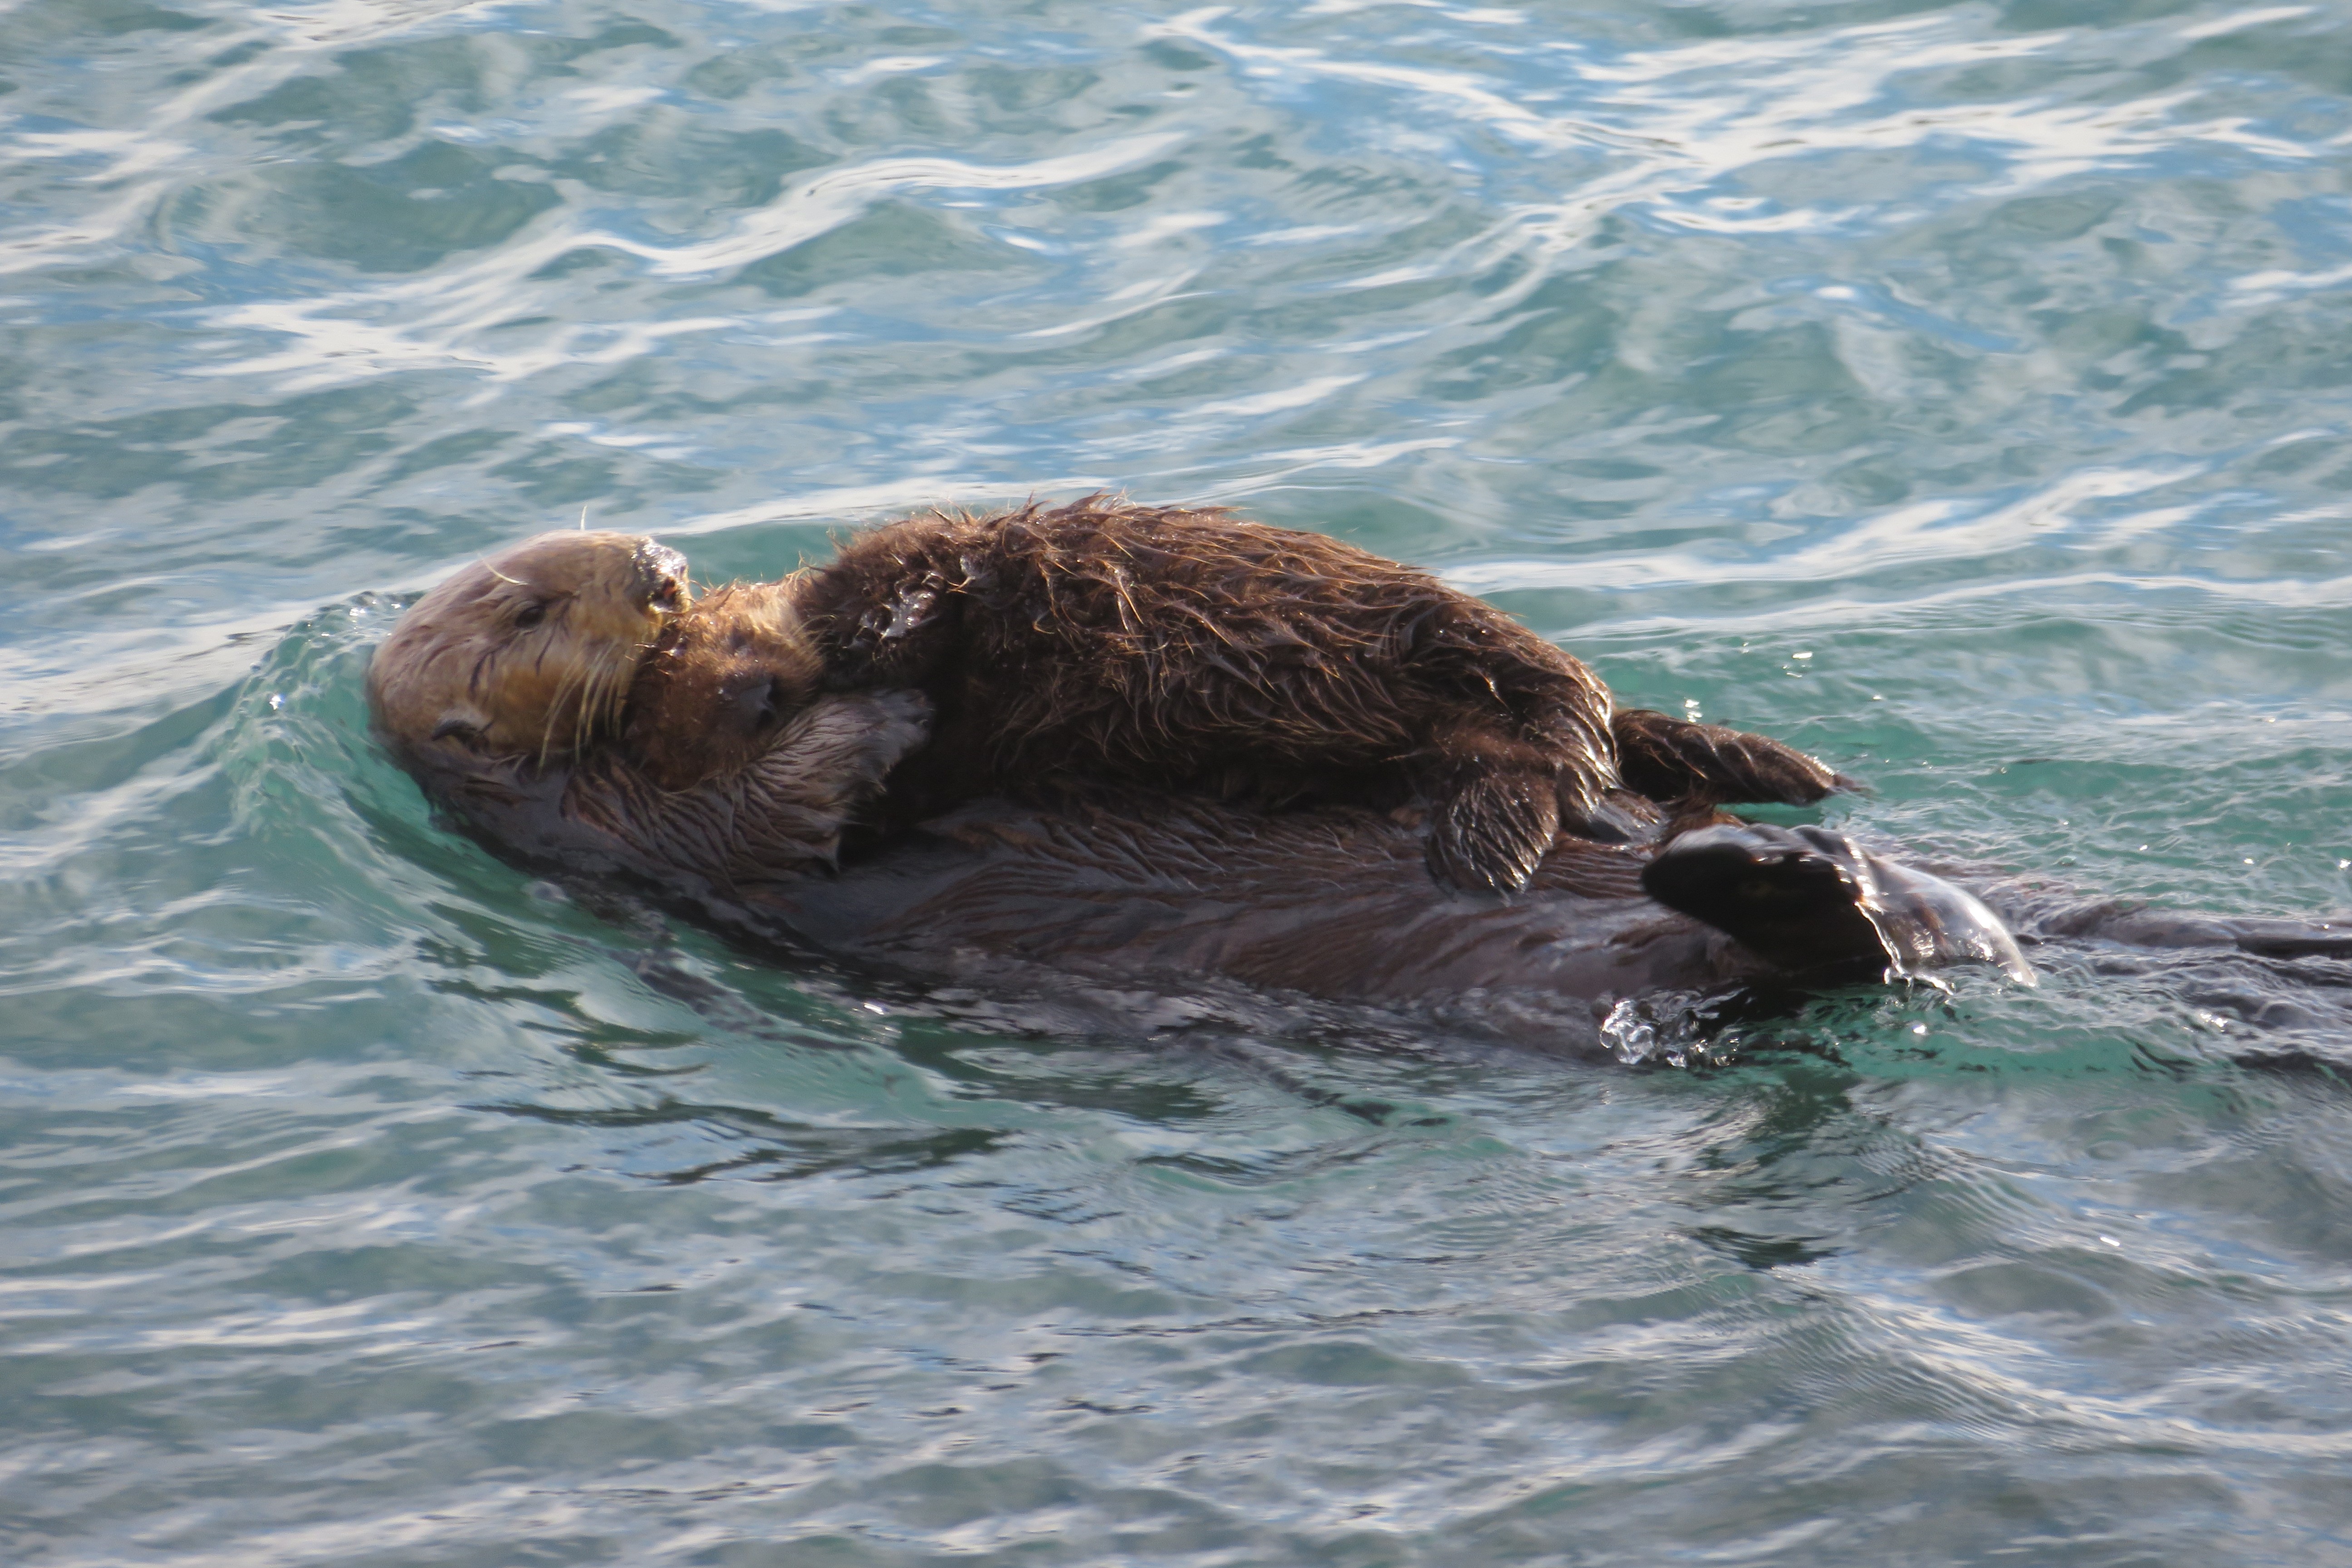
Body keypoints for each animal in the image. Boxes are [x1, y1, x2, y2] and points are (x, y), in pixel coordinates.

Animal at [616, 496, 1844, 888]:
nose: (748, 700)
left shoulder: (926, 569)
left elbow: (917, 581)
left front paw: (883, 628)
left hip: (1461, 648)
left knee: (1567, 727)